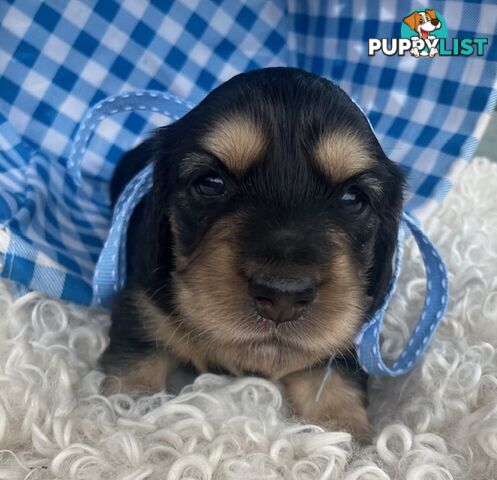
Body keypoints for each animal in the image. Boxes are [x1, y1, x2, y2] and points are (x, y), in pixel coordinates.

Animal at [100, 67, 404, 442]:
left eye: (353, 198)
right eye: (211, 183)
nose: (283, 296)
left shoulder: (347, 337)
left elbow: (336, 387)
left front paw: (348, 441)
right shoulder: (141, 309)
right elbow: (132, 377)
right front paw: (121, 427)